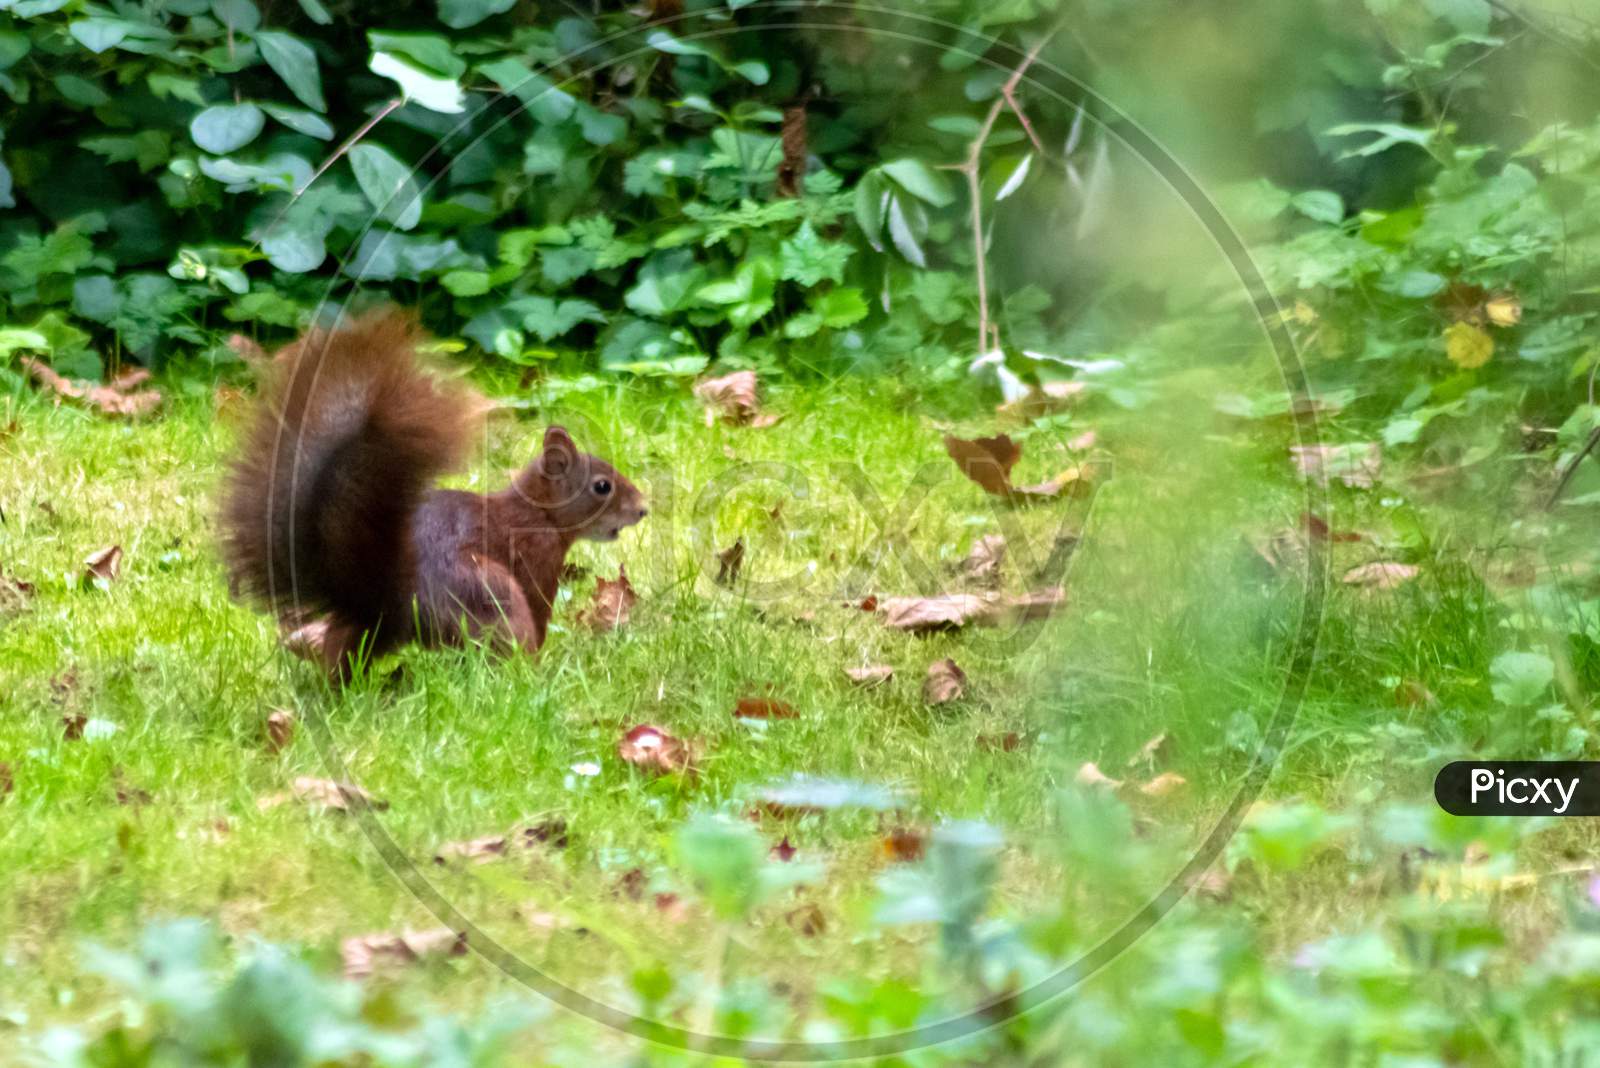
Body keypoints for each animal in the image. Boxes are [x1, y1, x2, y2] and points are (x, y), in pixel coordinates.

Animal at [222, 308, 646, 674]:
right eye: (602, 487)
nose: (642, 509)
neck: (538, 512)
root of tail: (386, 606)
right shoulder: (536, 556)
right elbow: (540, 610)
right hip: (488, 594)